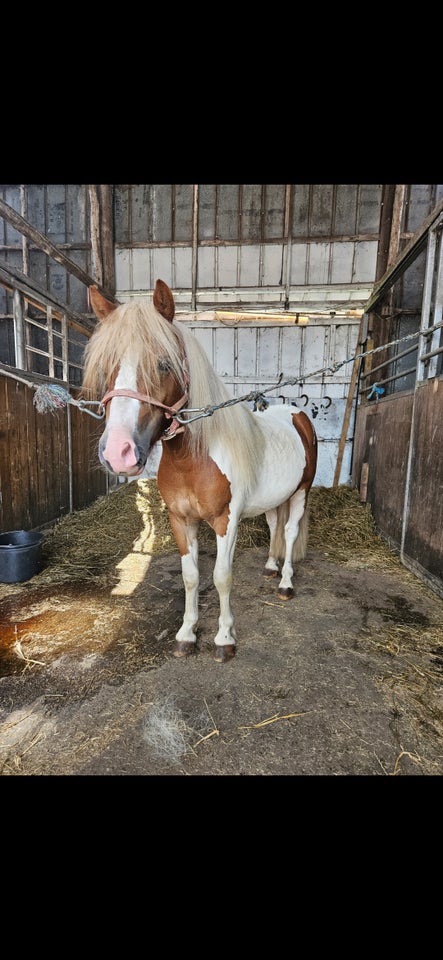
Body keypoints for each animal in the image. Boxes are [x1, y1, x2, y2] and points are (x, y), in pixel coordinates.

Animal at [83, 282, 318, 664]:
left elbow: (222, 577)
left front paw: (224, 639)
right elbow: (190, 576)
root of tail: (297, 415)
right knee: (274, 527)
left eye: (164, 364)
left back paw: (285, 583)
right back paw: (270, 567)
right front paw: (186, 634)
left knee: (290, 531)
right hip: (273, 499)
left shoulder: (226, 520)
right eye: (107, 367)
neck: (191, 459)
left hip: (301, 492)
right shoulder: (180, 520)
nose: (118, 452)